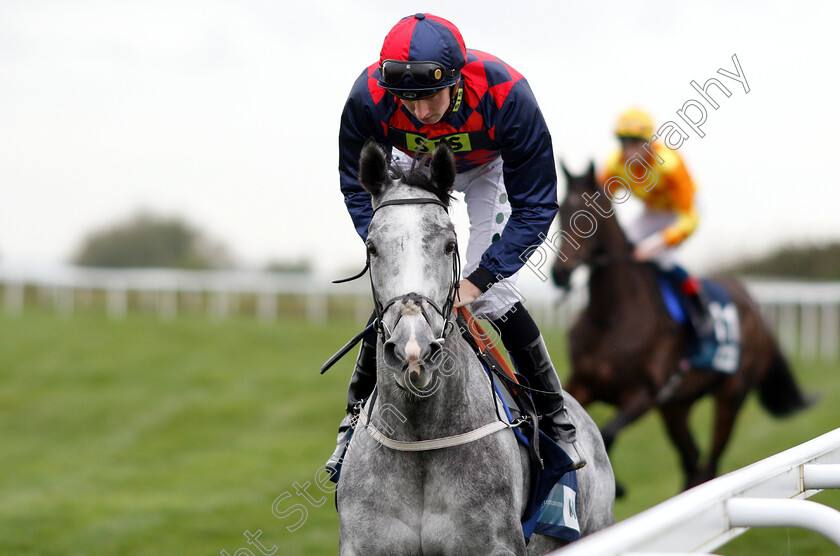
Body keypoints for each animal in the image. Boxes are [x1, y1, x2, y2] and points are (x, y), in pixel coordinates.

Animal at [552, 163, 812, 494]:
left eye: (589, 214)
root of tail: (752, 303)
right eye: (561, 211)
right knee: (692, 459)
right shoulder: (583, 383)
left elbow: (607, 432)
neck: (611, 316)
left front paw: (618, 486)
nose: (560, 273)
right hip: (678, 406)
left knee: (710, 462)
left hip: (730, 397)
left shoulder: (644, 395)